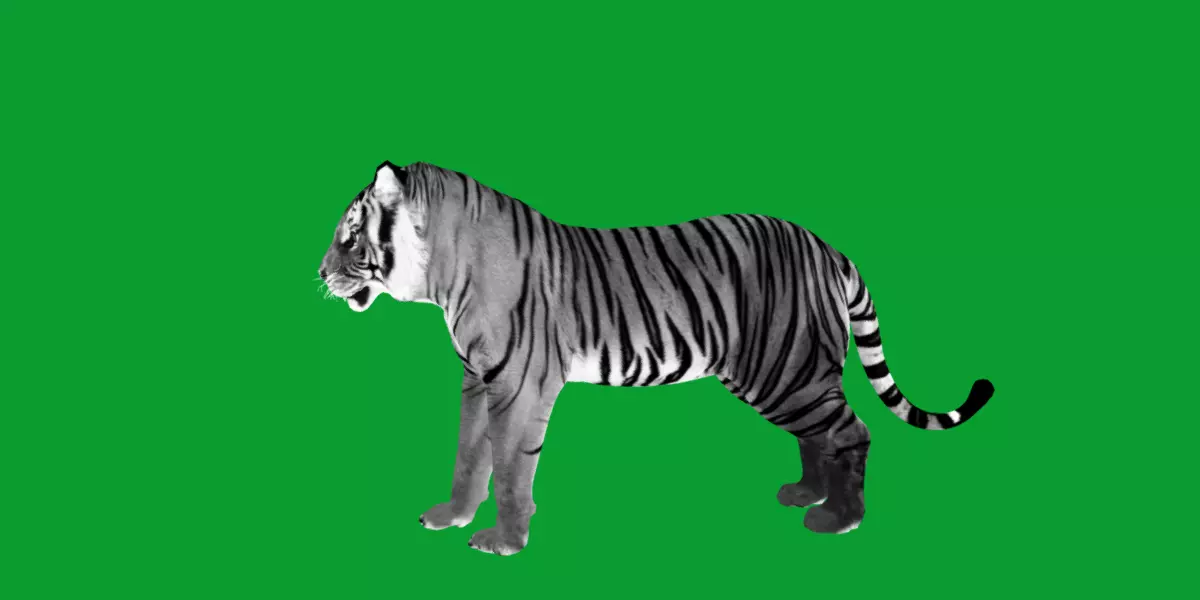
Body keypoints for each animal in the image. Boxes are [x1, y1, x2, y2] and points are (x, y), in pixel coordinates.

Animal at [318, 161, 994, 556]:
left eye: (350, 234)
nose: (319, 274)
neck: (442, 272)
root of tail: (828, 247)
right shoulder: (477, 380)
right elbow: (468, 454)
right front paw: (452, 515)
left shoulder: (517, 383)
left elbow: (509, 470)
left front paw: (505, 541)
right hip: (789, 376)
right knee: (819, 434)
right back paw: (805, 494)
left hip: (788, 369)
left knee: (850, 431)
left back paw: (839, 518)